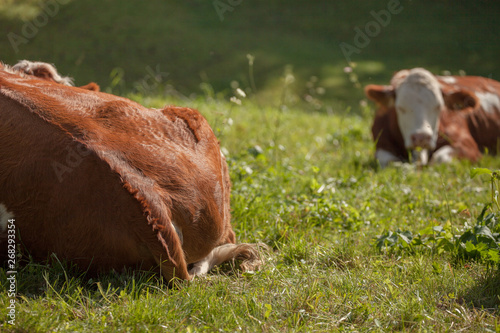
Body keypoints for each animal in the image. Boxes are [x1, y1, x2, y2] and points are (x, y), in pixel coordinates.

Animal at [364, 67, 500, 166]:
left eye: (439, 106)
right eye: (400, 107)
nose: (421, 137)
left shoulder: (468, 146)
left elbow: (440, 158)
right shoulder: (382, 144)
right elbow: (390, 162)